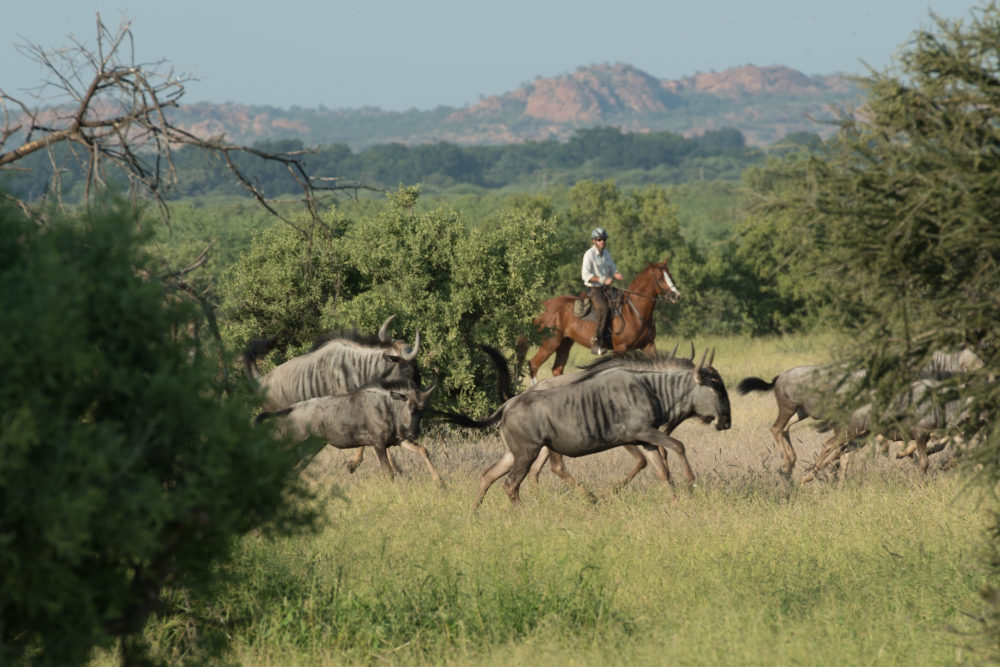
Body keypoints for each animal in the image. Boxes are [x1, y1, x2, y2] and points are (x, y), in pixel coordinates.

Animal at [516, 258, 681, 383]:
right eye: (659, 277)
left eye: (670, 275)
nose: (676, 295)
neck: (635, 311)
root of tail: (545, 305)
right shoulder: (620, 348)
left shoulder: (649, 345)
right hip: (550, 344)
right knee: (533, 365)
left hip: (565, 343)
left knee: (557, 369)